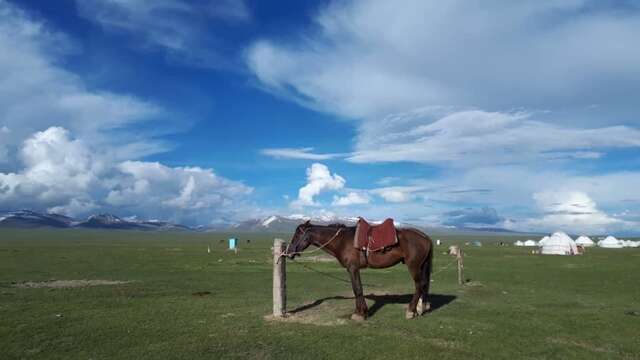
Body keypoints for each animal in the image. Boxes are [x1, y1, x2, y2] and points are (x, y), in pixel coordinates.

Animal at [286, 219, 432, 320]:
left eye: (297, 234)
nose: (288, 252)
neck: (342, 241)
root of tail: (424, 236)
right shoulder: (354, 269)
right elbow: (359, 288)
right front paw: (363, 312)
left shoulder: (352, 268)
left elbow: (357, 289)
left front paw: (359, 314)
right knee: (424, 285)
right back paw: (421, 308)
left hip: (413, 266)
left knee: (419, 286)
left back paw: (411, 311)